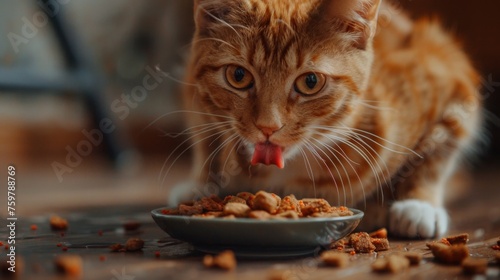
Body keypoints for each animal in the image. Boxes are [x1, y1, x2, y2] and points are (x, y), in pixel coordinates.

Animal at [167, 0, 480, 238]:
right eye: (238, 76)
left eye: (310, 82)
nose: (268, 127)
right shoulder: (192, 90)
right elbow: (204, 140)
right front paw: (201, 183)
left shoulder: (449, 81)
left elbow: (436, 154)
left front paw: (418, 204)